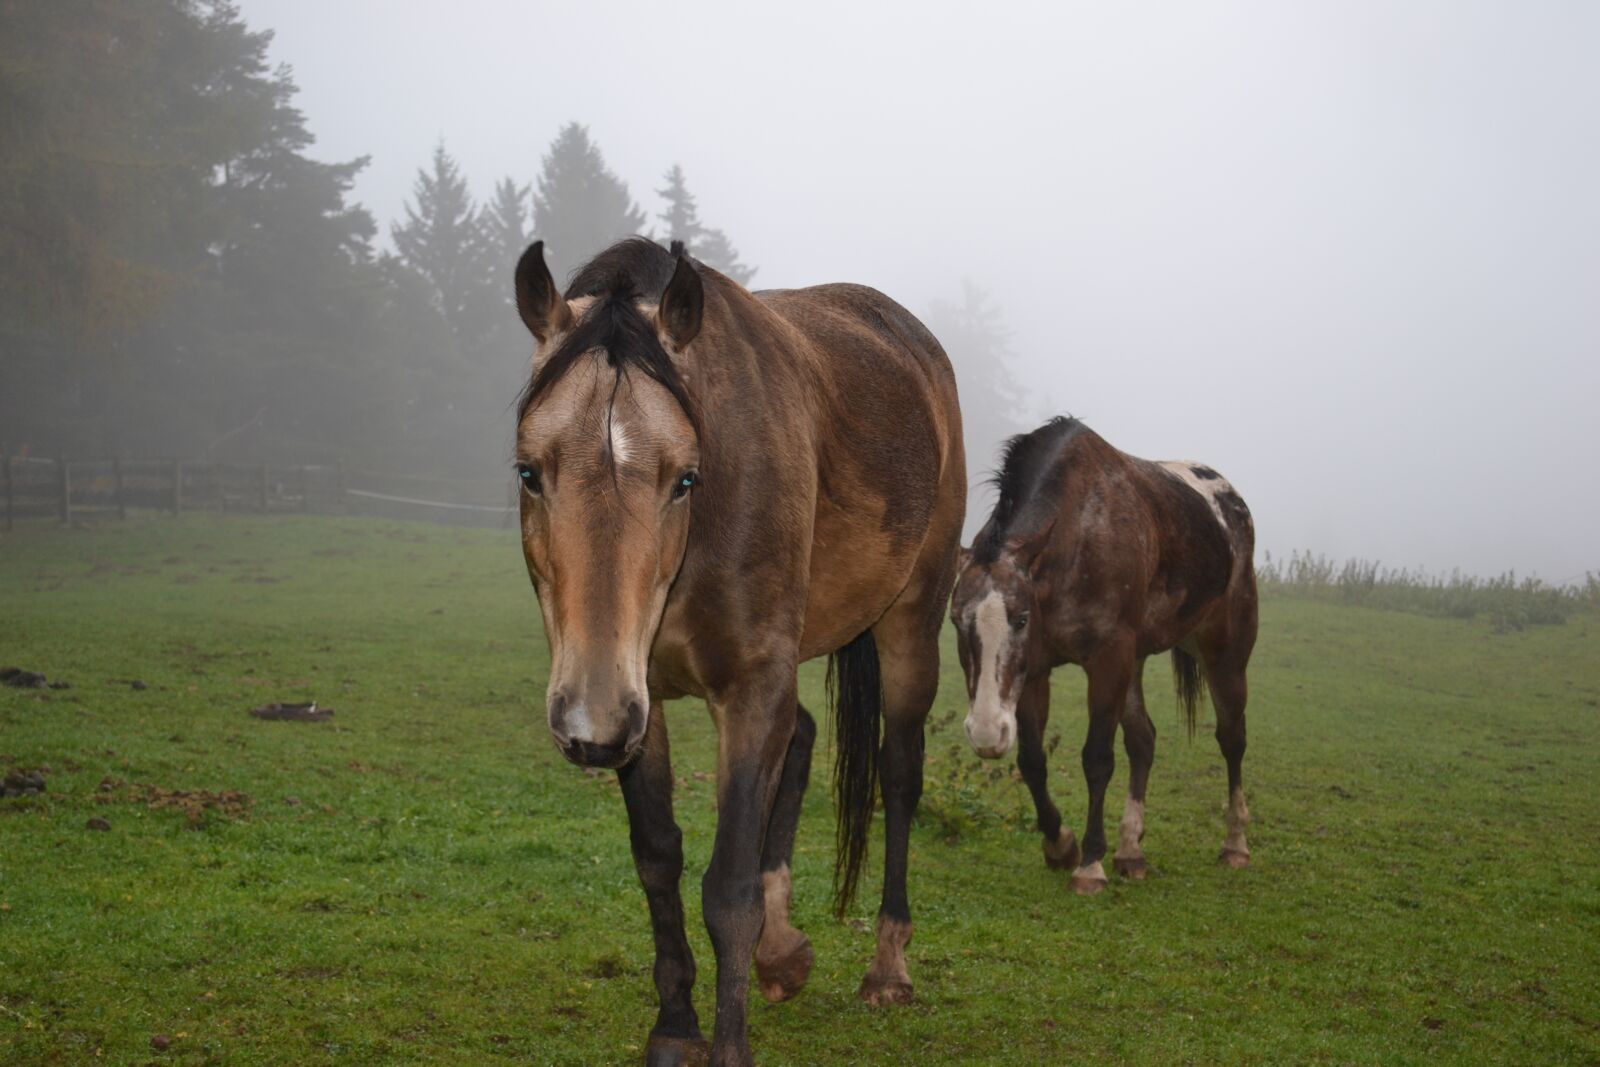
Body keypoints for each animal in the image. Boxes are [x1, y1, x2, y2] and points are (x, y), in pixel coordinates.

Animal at [511, 238, 965, 1065]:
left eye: (684, 477)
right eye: (530, 471)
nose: (588, 723)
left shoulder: (750, 686)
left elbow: (727, 886)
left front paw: (726, 1042)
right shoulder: (640, 698)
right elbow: (658, 856)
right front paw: (674, 1025)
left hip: (910, 621)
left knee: (898, 773)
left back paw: (888, 963)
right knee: (806, 739)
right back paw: (782, 951)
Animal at [949, 417, 1257, 894]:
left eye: (1020, 619)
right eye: (955, 622)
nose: (985, 732)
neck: (1077, 534)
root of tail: (1231, 502)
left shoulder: (1108, 659)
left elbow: (1096, 758)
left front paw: (1090, 863)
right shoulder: (1036, 671)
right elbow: (1032, 762)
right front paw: (1061, 845)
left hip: (1227, 651)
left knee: (1232, 739)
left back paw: (1235, 844)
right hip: (1137, 660)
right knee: (1143, 739)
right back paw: (1131, 851)